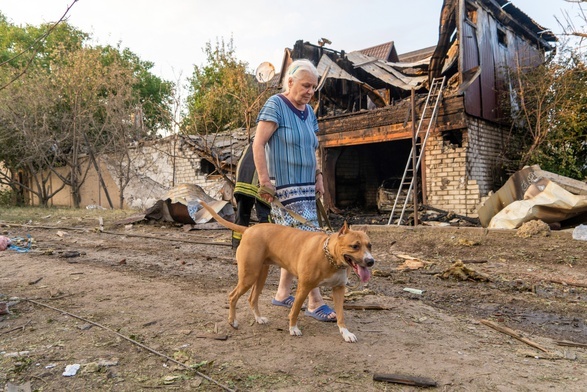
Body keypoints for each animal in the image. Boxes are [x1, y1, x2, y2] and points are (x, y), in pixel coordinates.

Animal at [198, 201, 372, 342]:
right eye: (355, 246)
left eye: (369, 245)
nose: (371, 261)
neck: (330, 257)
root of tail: (248, 229)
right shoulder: (304, 287)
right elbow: (294, 310)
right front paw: (293, 328)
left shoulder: (339, 289)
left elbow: (341, 315)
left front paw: (346, 333)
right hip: (249, 276)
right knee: (233, 296)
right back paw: (233, 322)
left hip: (261, 275)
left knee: (252, 298)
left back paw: (258, 318)